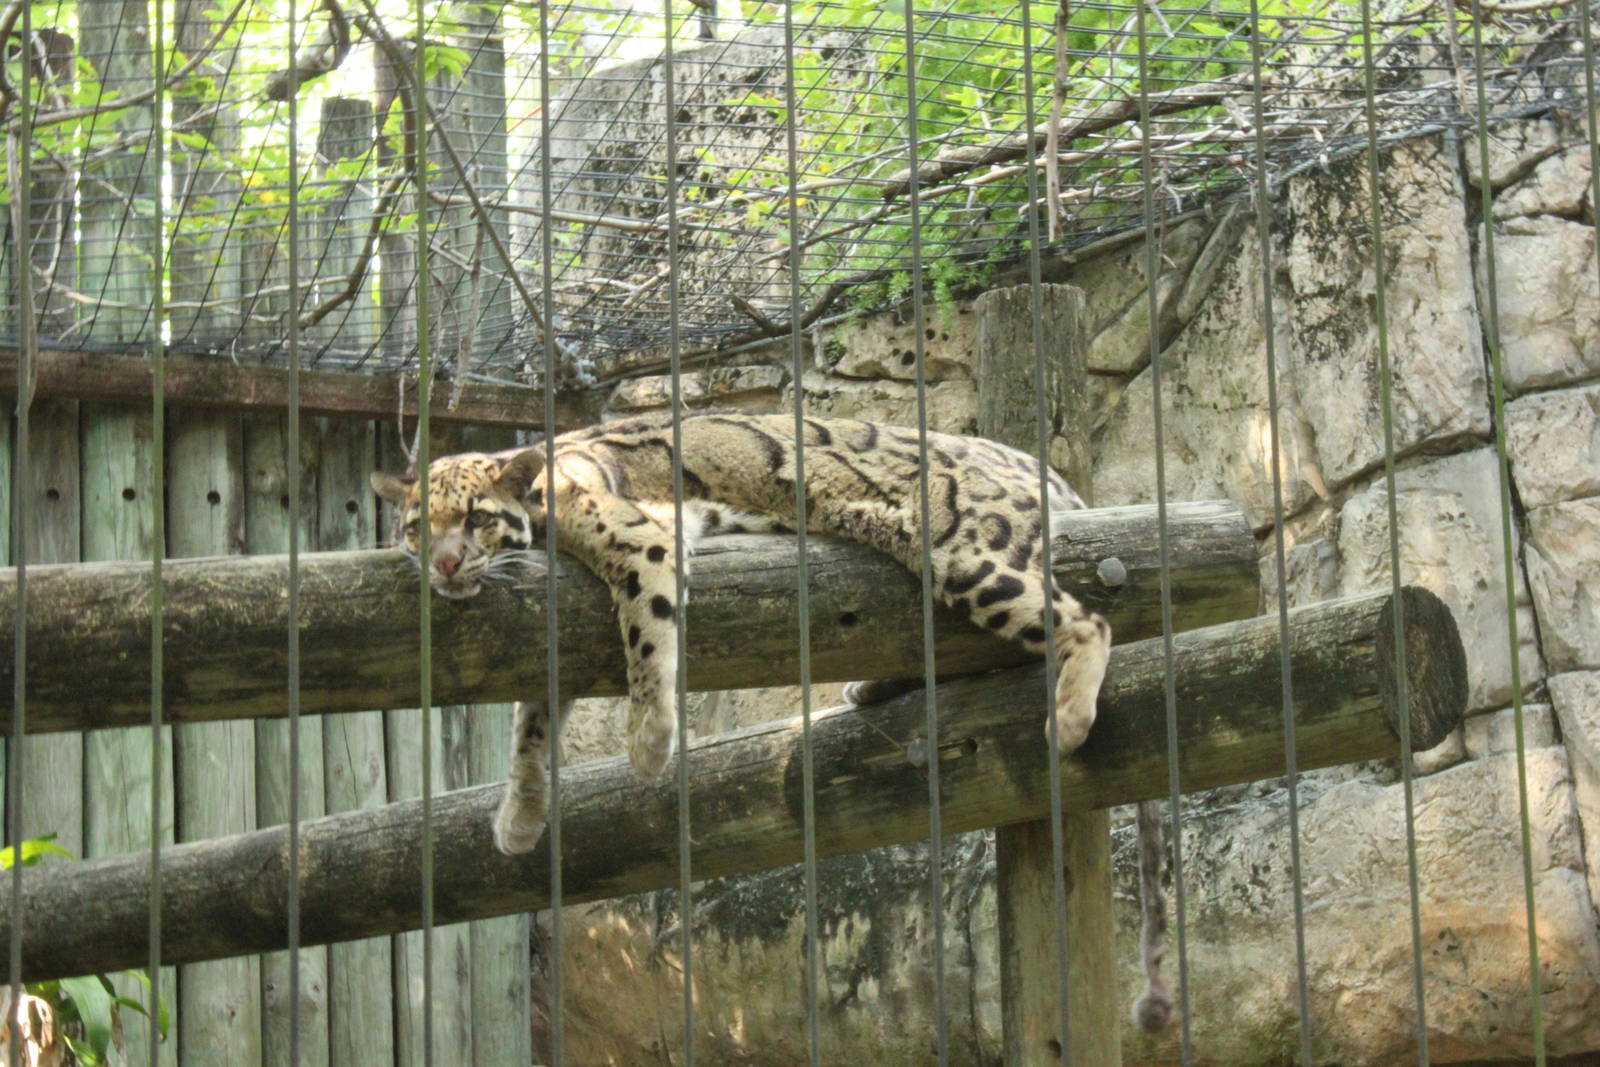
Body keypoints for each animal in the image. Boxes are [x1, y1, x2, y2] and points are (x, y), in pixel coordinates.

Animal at [372, 410, 1172, 1032]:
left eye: (475, 520)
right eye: (416, 528)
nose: (445, 564)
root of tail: (1030, 461)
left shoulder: (642, 537)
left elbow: (646, 631)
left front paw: (650, 740)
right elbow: (532, 723)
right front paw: (521, 817)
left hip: (963, 549)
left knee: (1089, 619)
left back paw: (1069, 714)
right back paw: (873, 685)